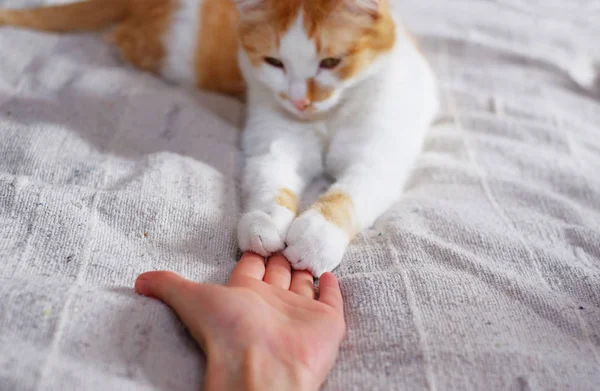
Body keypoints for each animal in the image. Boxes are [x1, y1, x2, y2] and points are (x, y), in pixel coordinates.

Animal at [1, 0, 440, 278]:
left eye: (331, 62)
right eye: (274, 63)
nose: (299, 100)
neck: (326, 117)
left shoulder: (379, 154)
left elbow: (349, 194)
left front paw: (316, 237)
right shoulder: (272, 140)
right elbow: (270, 180)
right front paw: (266, 220)